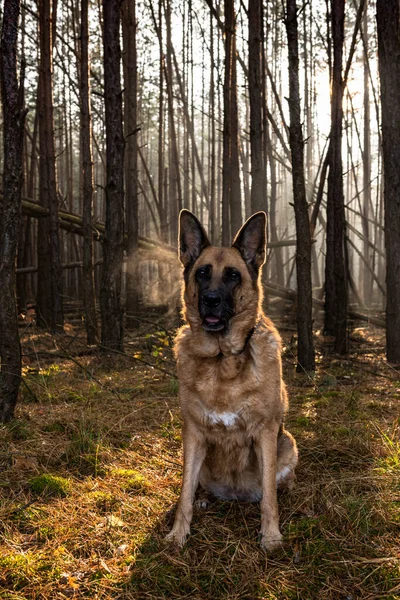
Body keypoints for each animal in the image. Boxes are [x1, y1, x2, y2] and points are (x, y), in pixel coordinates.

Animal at [166, 209, 296, 552]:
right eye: (202, 273)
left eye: (233, 275)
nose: (211, 300)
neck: (222, 359)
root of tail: (235, 495)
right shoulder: (193, 433)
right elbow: (184, 491)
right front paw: (178, 533)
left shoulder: (265, 433)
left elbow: (269, 499)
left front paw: (271, 535)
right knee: (196, 486)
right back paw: (203, 499)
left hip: (287, 443)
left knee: (274, 487)